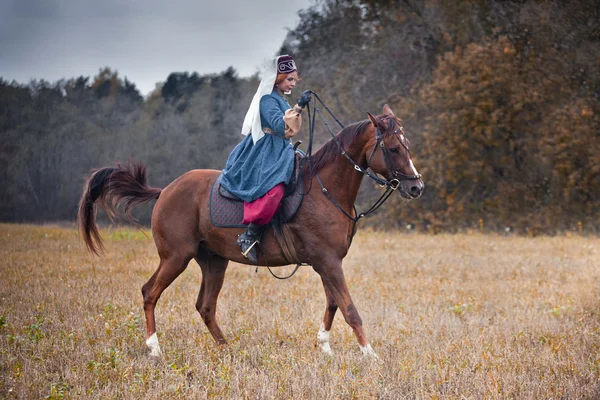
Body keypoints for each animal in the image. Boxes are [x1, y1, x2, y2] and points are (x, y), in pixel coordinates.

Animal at [78, 104, 422, 358]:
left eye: (407, 145)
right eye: (393, 148)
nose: (416, 187)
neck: (326, 189)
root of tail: (165, 191)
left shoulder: (328, 263)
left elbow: (333, 303)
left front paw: (325, 346)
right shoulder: (328, 261)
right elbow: (349, 308)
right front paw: (370, 355)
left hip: (214, 261)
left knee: (205, 306)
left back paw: (227, 349)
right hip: (176, 257)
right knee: (150, 292)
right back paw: (155, 348)